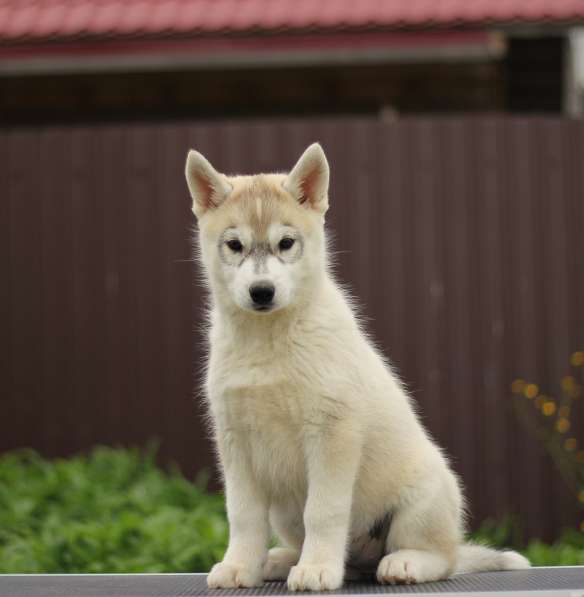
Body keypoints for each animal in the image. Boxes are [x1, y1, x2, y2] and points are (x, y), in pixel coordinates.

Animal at [185, 142, 532, 588]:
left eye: (286, 243)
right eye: (234, 245)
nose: (262, 292)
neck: (270, 342)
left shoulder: (332, 431)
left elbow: (323, 511)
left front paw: (316, 570)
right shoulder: (235, 441)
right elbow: (243, 515)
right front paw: (239, 566)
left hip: (423, 501)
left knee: (443, 557)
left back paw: (401, 564)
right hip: (283, 511)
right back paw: (279, 561)